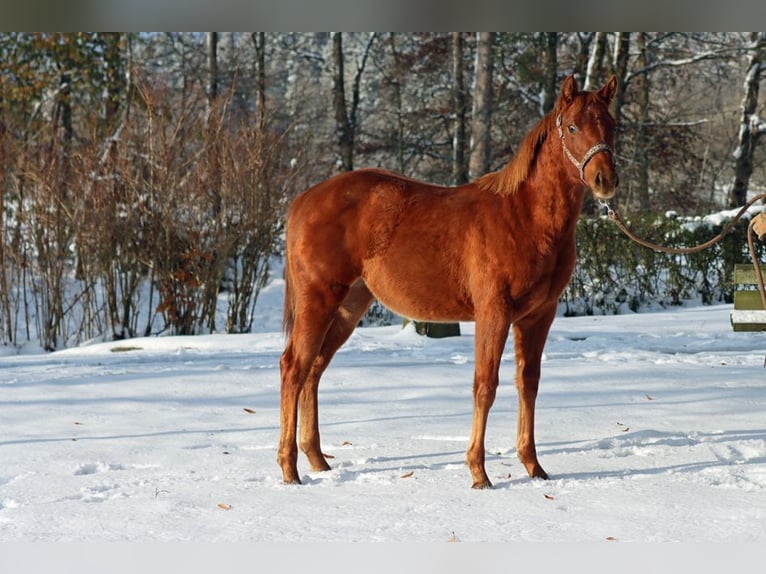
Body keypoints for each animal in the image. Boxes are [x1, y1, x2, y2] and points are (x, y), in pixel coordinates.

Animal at [280, 74, 620, 490]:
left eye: (611, 124)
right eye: (572, 127)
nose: (605, 180)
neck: (523, 217)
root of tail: (304, 200)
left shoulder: (539, 316)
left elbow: (528, 384)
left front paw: (534, 467)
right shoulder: (494, 313)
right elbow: (485, 385)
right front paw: (479, 472)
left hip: (348, 306)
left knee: (313, 370)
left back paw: (316, 460)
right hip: (319, 301)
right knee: (293, 369)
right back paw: (289, 469)